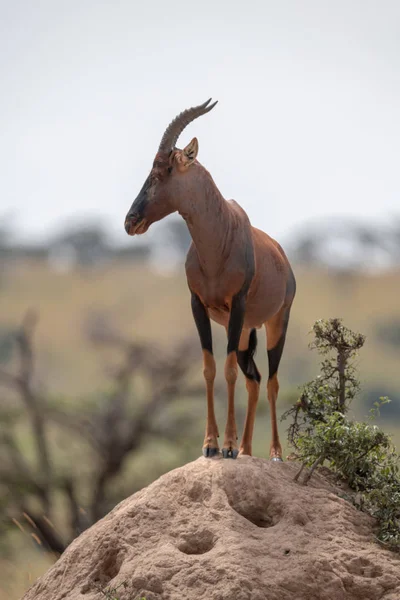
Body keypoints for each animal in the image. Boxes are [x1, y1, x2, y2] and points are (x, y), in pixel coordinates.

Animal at [125, 101, 296, 462]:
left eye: (163, 171)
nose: (130, 221)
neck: (222, 235)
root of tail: (282, 256)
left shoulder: (237, 306)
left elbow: (227, 370)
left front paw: (226, 445)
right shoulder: (198, 306)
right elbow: (209, 368)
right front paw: (211, 445)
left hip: (275, 321)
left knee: (271, 381)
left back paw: (273, 452)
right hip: (246, 332)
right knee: (254, 379)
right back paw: (245, 450)